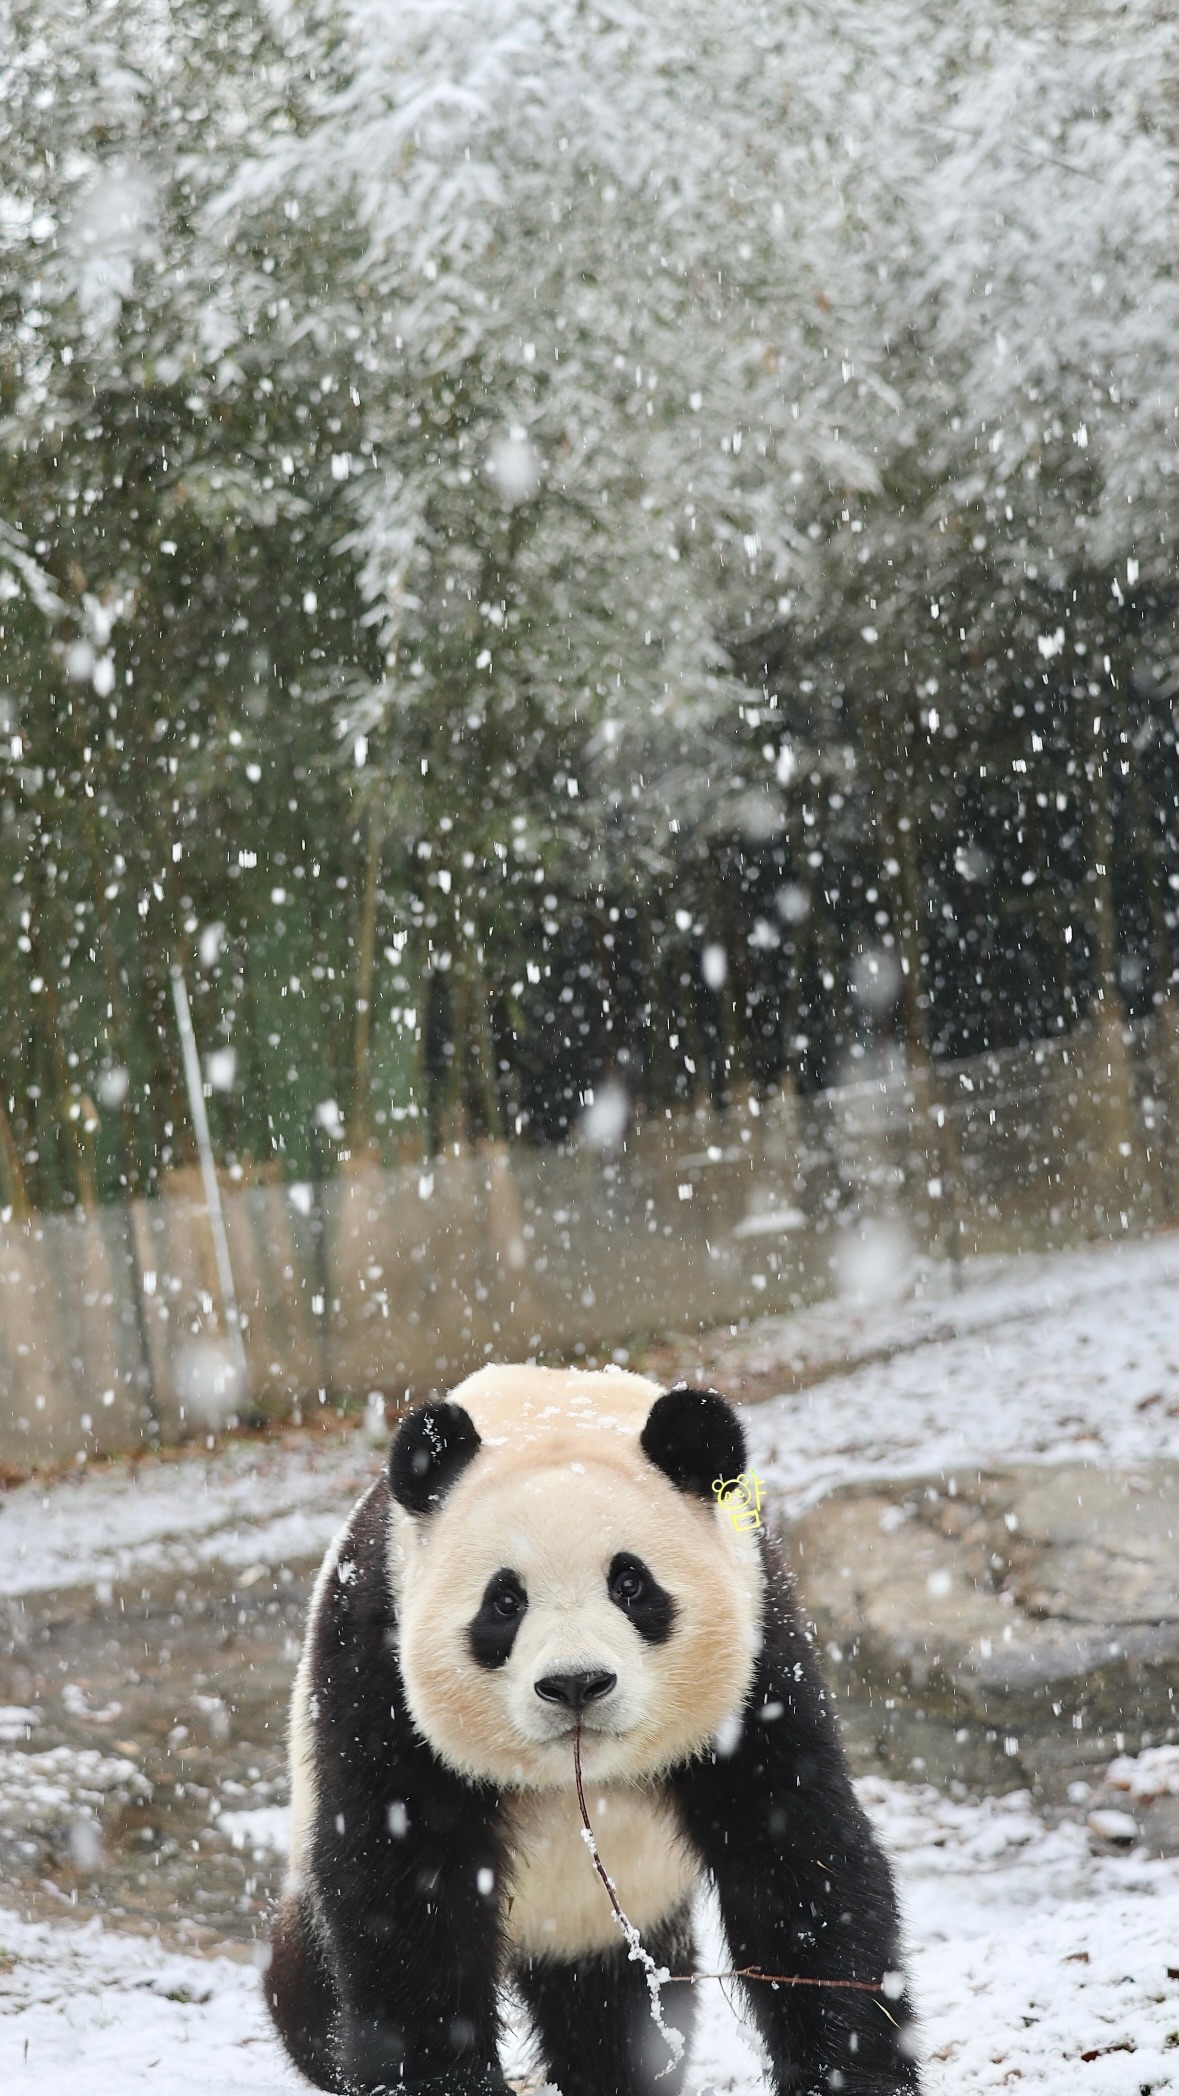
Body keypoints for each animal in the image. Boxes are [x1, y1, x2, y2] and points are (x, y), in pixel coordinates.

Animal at [266, 1366, 918, 2087]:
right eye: (505, 1601)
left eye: (630, 1584)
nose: (575, 1684)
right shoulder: (376, 1668)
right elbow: (407, 1904)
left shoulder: (760, 1667)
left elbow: (801, 1867)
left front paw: (851, 2069)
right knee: (307, 1996)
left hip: (615, 1923)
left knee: (617, 2014)